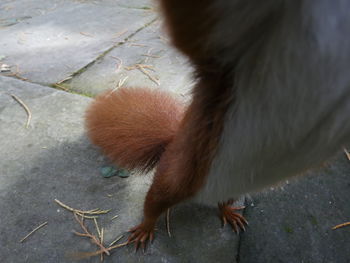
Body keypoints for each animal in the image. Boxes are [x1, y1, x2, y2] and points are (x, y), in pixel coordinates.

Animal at [86, 0, 350, 251]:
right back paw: (145, 228)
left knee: (221, 202)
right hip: (175, 178)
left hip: (230, 186)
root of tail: (174, 141)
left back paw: (229, 213)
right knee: (153, 204)